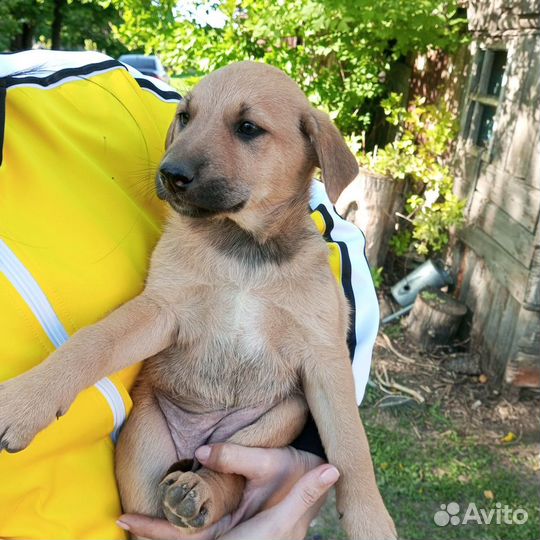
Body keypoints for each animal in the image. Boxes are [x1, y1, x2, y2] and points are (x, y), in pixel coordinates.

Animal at [0, 61, 396, 536]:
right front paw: (25, 402)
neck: (243, 249)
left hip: (278, 417)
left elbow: (352, 446)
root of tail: (198, 439)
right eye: (185, 117)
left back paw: (199, 492)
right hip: (143, 452)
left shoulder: (324, 356)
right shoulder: (162, 309)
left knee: (228, 474)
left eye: (248, 128)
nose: (170, 174)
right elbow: (91, 344)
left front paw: (371, 520)